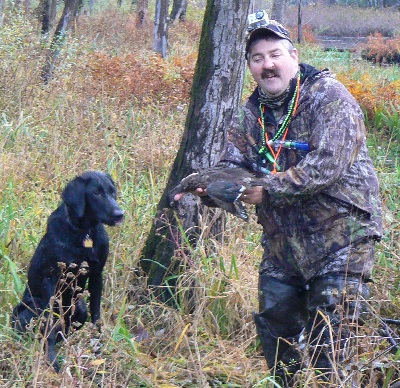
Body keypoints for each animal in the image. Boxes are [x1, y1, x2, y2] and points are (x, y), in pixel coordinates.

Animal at [12, 171, 123, 372]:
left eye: (112, 191)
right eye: (96, 193)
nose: (120, 214)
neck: (85, 233)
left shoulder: (97, 275)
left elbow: (96, 317)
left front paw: (99, 346)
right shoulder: (51, 279)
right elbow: (50, 325)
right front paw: (52, 361)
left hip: (79, 307)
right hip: (29, 309)